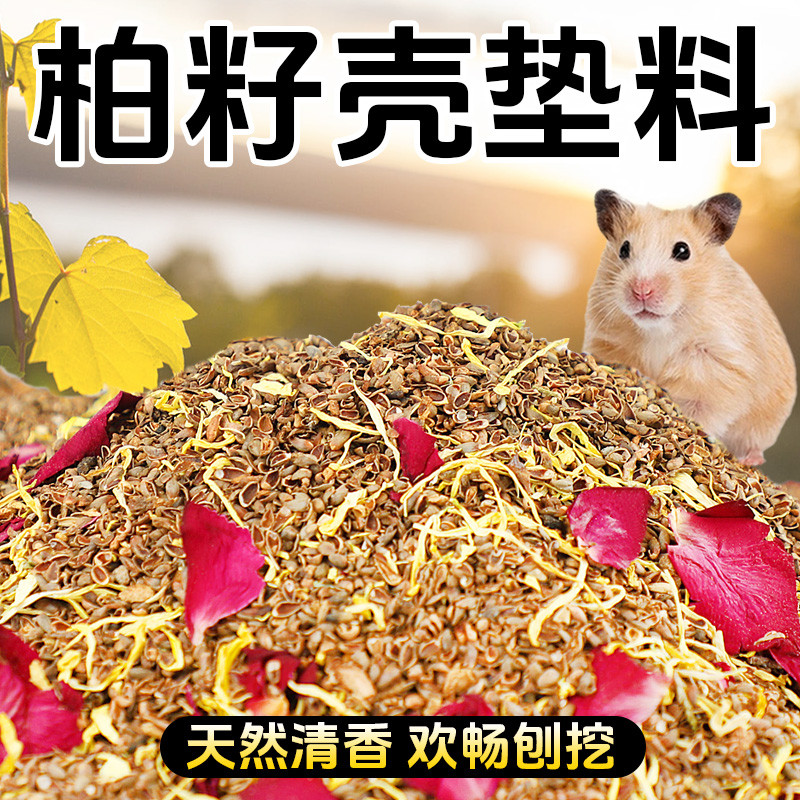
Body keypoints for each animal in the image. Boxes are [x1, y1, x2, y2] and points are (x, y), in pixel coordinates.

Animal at [583, 189, 796, 465]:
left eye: (683, 250)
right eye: (624, 249)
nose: (641, 291)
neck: (661, 326)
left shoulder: (716, 363)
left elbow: (701, 409)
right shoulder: (609, 343)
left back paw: (749, 460)